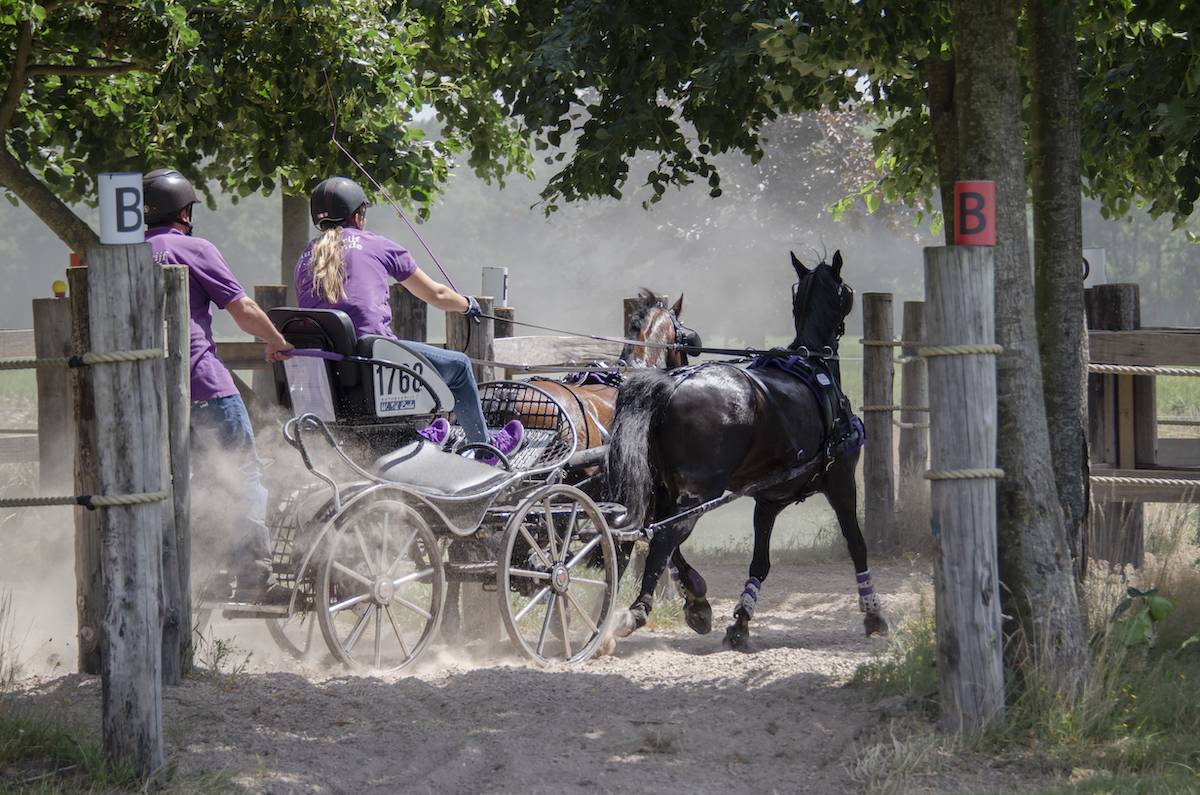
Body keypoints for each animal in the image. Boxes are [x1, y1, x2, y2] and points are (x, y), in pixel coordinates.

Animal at [604, 251, 889, 651]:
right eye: (845, 290)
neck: (814, 365)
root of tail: (671, 385)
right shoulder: (841, 480)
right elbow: (857, 544)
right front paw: (874, 613)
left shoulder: (768, 499)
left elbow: (760, 563)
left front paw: (740, 621)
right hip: (698, 494)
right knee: (663, 537)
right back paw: (639, 611)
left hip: (664, 489)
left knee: (648, 534)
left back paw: (690, 602)